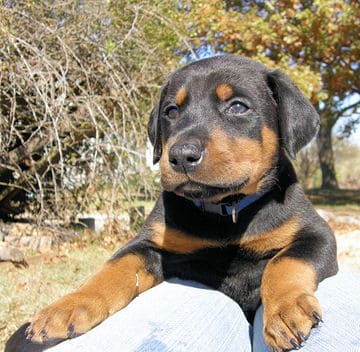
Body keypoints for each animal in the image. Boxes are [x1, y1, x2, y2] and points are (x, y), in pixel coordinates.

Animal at [7, 56, 338, 350]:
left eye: (237, 107)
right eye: (171, 111)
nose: (181, 155)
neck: (225, 211)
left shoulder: (317, 234)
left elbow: (285, 262)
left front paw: (286, 309)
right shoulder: (149, 245)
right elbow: (113, 268)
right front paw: (67, 306)